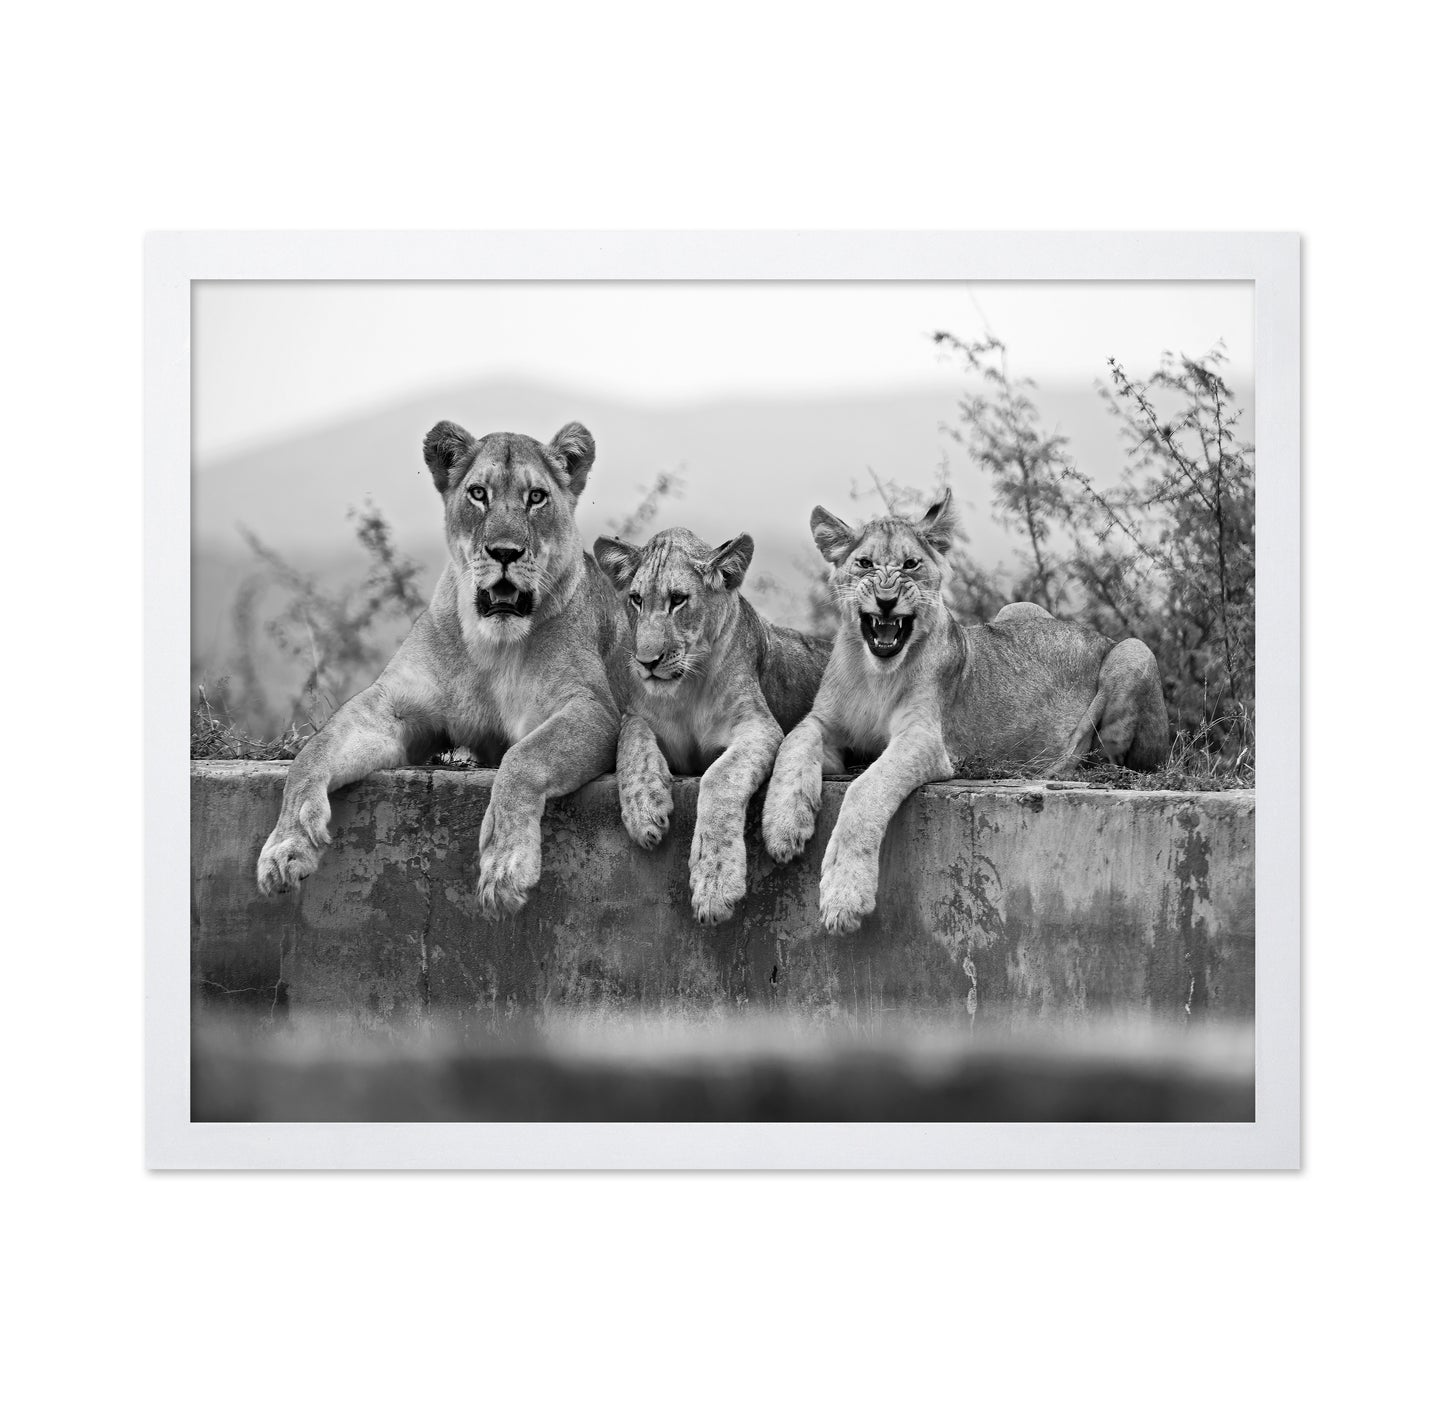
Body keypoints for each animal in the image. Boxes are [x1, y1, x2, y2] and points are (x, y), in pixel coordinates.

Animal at [257, 420, 629, 917]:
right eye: (478, 494)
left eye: (536, 497)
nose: (505, 552)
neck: (492, 646)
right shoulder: (392, 704)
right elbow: (312, 753)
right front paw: (287, 844)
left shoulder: (592, 708)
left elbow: (522, 758)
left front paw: (505, 864)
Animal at [593, 527, 831, 925]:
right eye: (637, 600)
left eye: (677, 600)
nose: (646, 662)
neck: (686, 688)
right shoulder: (641, 716)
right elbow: (631, 737)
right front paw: (644, 808)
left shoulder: (759, 726)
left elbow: (719, 777)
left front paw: (715, 884)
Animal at [762, 490, 1169, 934]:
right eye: (865, 564)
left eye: (910, 564)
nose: (886, 601)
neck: (875, 674)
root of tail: (1098, 634)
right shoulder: (824, 724)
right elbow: (793, 743)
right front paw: (783, 828)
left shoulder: (926, 739)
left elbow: (865, 788)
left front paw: (844, 897)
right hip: (1018, 608)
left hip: (1134, 652)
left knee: (1113, 763)